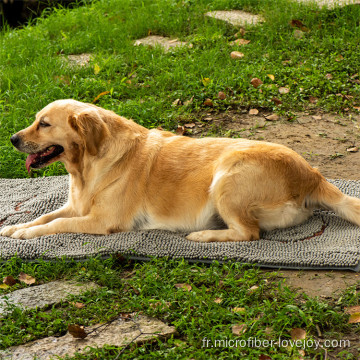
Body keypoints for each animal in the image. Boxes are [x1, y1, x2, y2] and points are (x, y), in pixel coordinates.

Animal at [0, 98, 360, 240]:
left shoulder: (100, 221)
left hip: (227, 177)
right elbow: (45, 216)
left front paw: (25, 234)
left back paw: (202, 235)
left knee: (248, 233)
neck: (87, 167)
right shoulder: (74, 205)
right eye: (36, 120)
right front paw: (14, 227)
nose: (13, 138)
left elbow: (55, 226)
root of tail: (312, 174)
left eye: (44, 124)